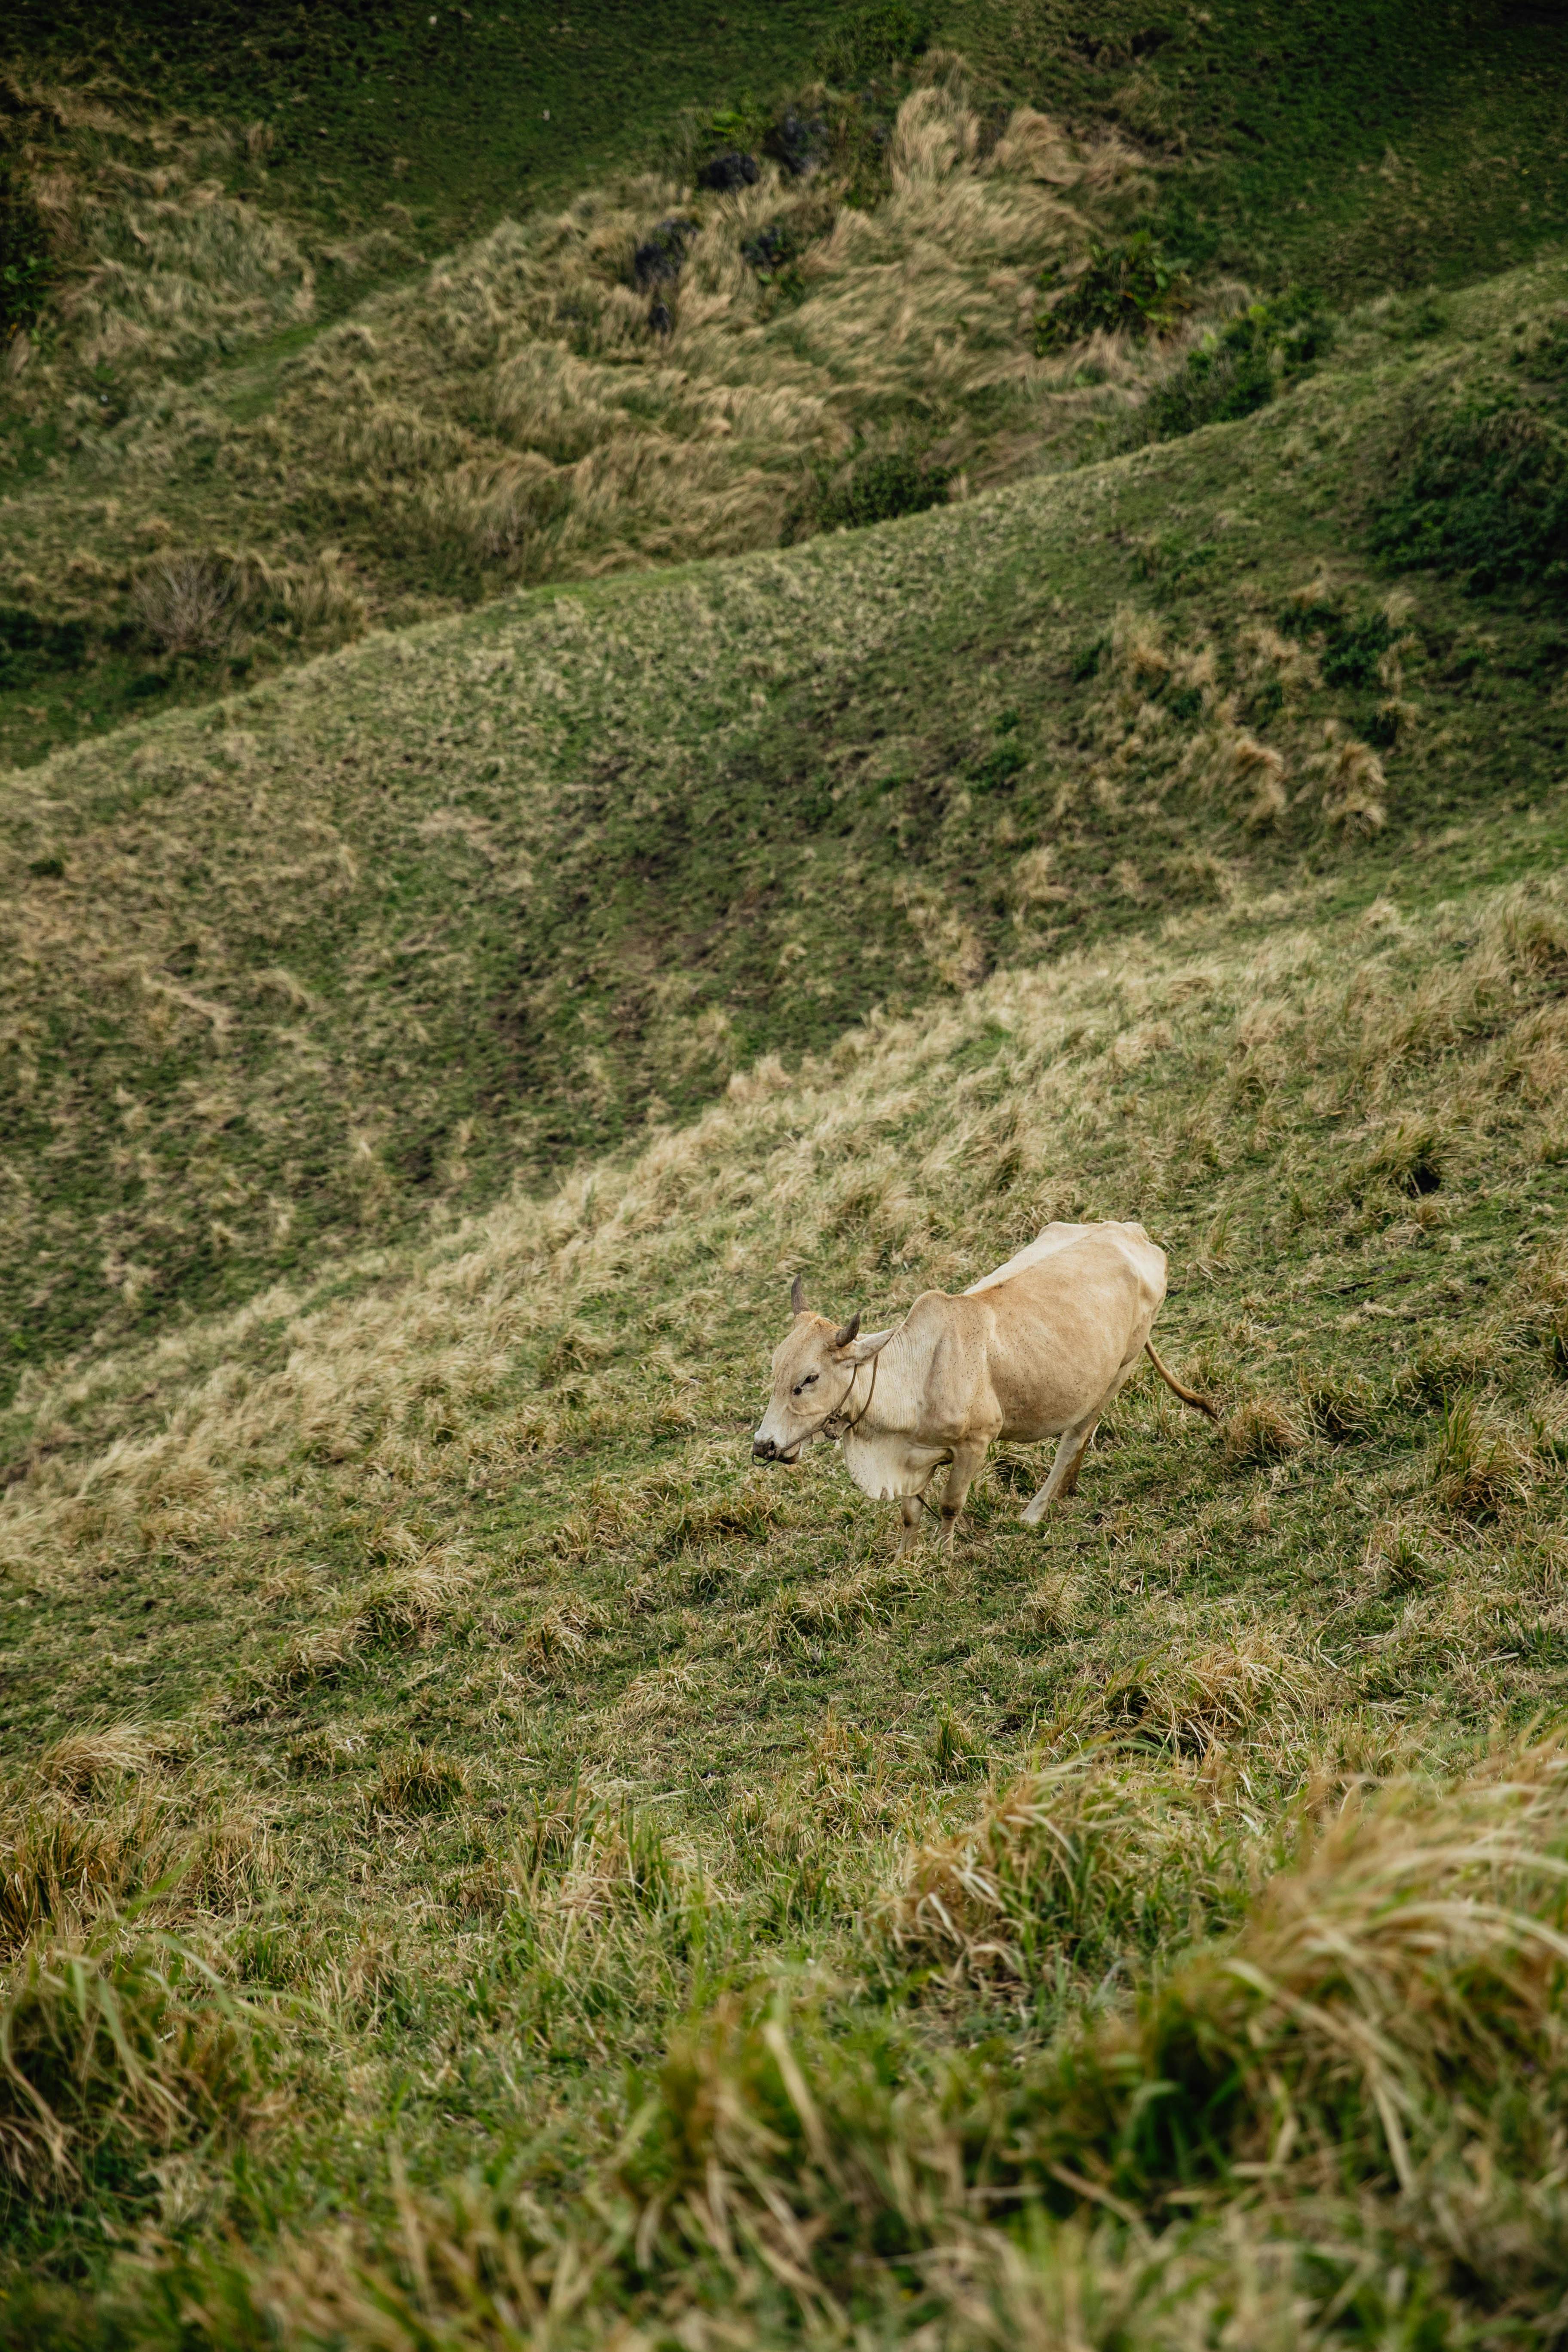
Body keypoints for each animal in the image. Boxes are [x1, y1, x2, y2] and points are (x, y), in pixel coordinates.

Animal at [751, 1221, 1217, 1552]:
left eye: (809, 1378)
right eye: (775, 1370)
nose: (763, 1445)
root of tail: (1133, 1234)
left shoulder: (975, 1444)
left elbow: (949, 1505)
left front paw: (943, 1558)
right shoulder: (913, 1459)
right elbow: (910, 1514)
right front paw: (903, 1562)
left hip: (1121, 1368)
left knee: (1074, 1438)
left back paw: (1036, 1511)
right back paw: (1067, 1489)